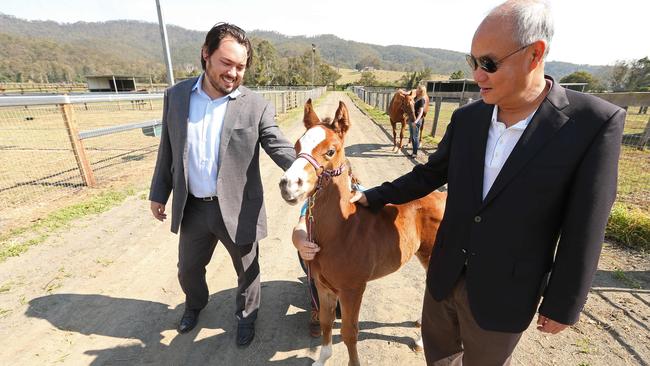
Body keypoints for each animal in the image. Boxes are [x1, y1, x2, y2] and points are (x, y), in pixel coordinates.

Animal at [278, 98, 446, 364]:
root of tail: (442, 194)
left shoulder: (352, 290)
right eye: (297, 146)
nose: (288, 186)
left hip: (432, 256)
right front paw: (322, 358)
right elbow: (326, 322)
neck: (343, 230)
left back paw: (420, 340)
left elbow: (349, 332)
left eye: (330, 151)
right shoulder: (324, 288)